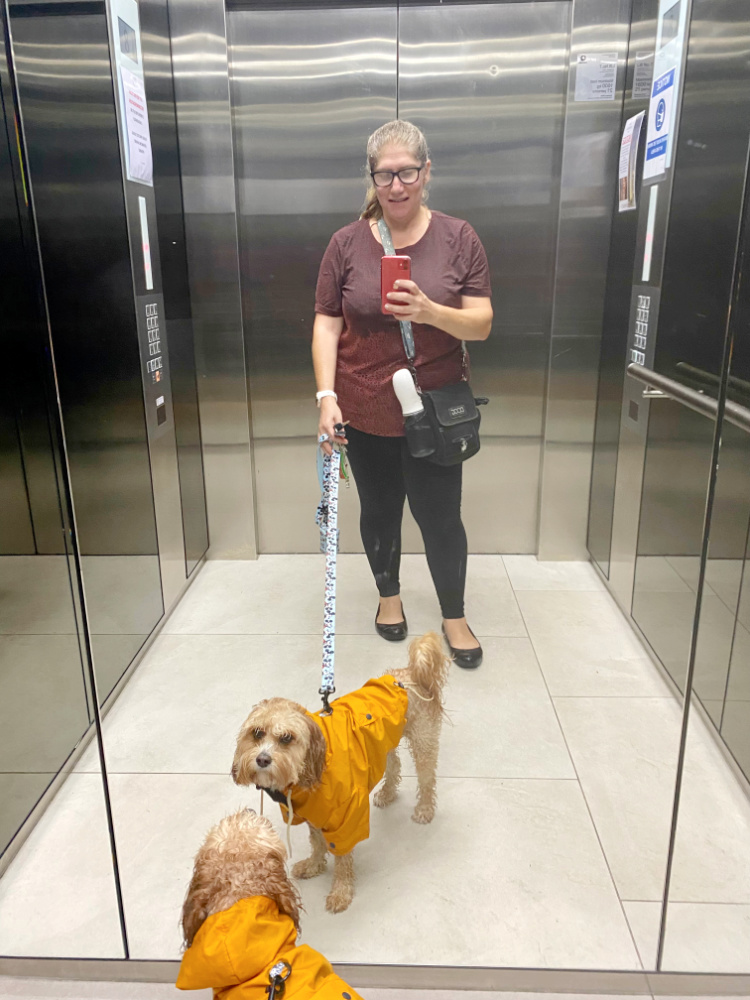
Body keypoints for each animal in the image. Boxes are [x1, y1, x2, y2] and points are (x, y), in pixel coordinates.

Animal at [232, 632, 450, 916]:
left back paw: (424, 809)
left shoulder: (346, 819)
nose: (262, 759)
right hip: (384, 743)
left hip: (423, 740)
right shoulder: (311, 815)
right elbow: (316, 843)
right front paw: (314, 865)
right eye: (257, 733)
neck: (310, 772)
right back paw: (388, 793)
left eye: (287, 738)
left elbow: (342, 858)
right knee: (394, 764)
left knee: (426, 778)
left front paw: (341, 892)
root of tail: (410, 673)